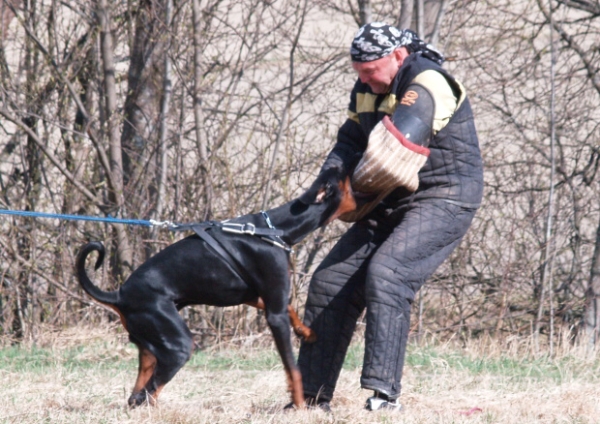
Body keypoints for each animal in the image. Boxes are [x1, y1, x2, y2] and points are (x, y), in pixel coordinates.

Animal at [75, 166, 356, 408]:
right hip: (178, 345)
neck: (274, 229)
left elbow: (289, 307)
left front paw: (306, 332)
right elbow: (293, 369)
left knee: (138, 394)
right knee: (149, 392)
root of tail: (119, 296)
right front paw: (299, 407)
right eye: (344, 174)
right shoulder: (274, 315)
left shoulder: (258, 296)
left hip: (151, 344)